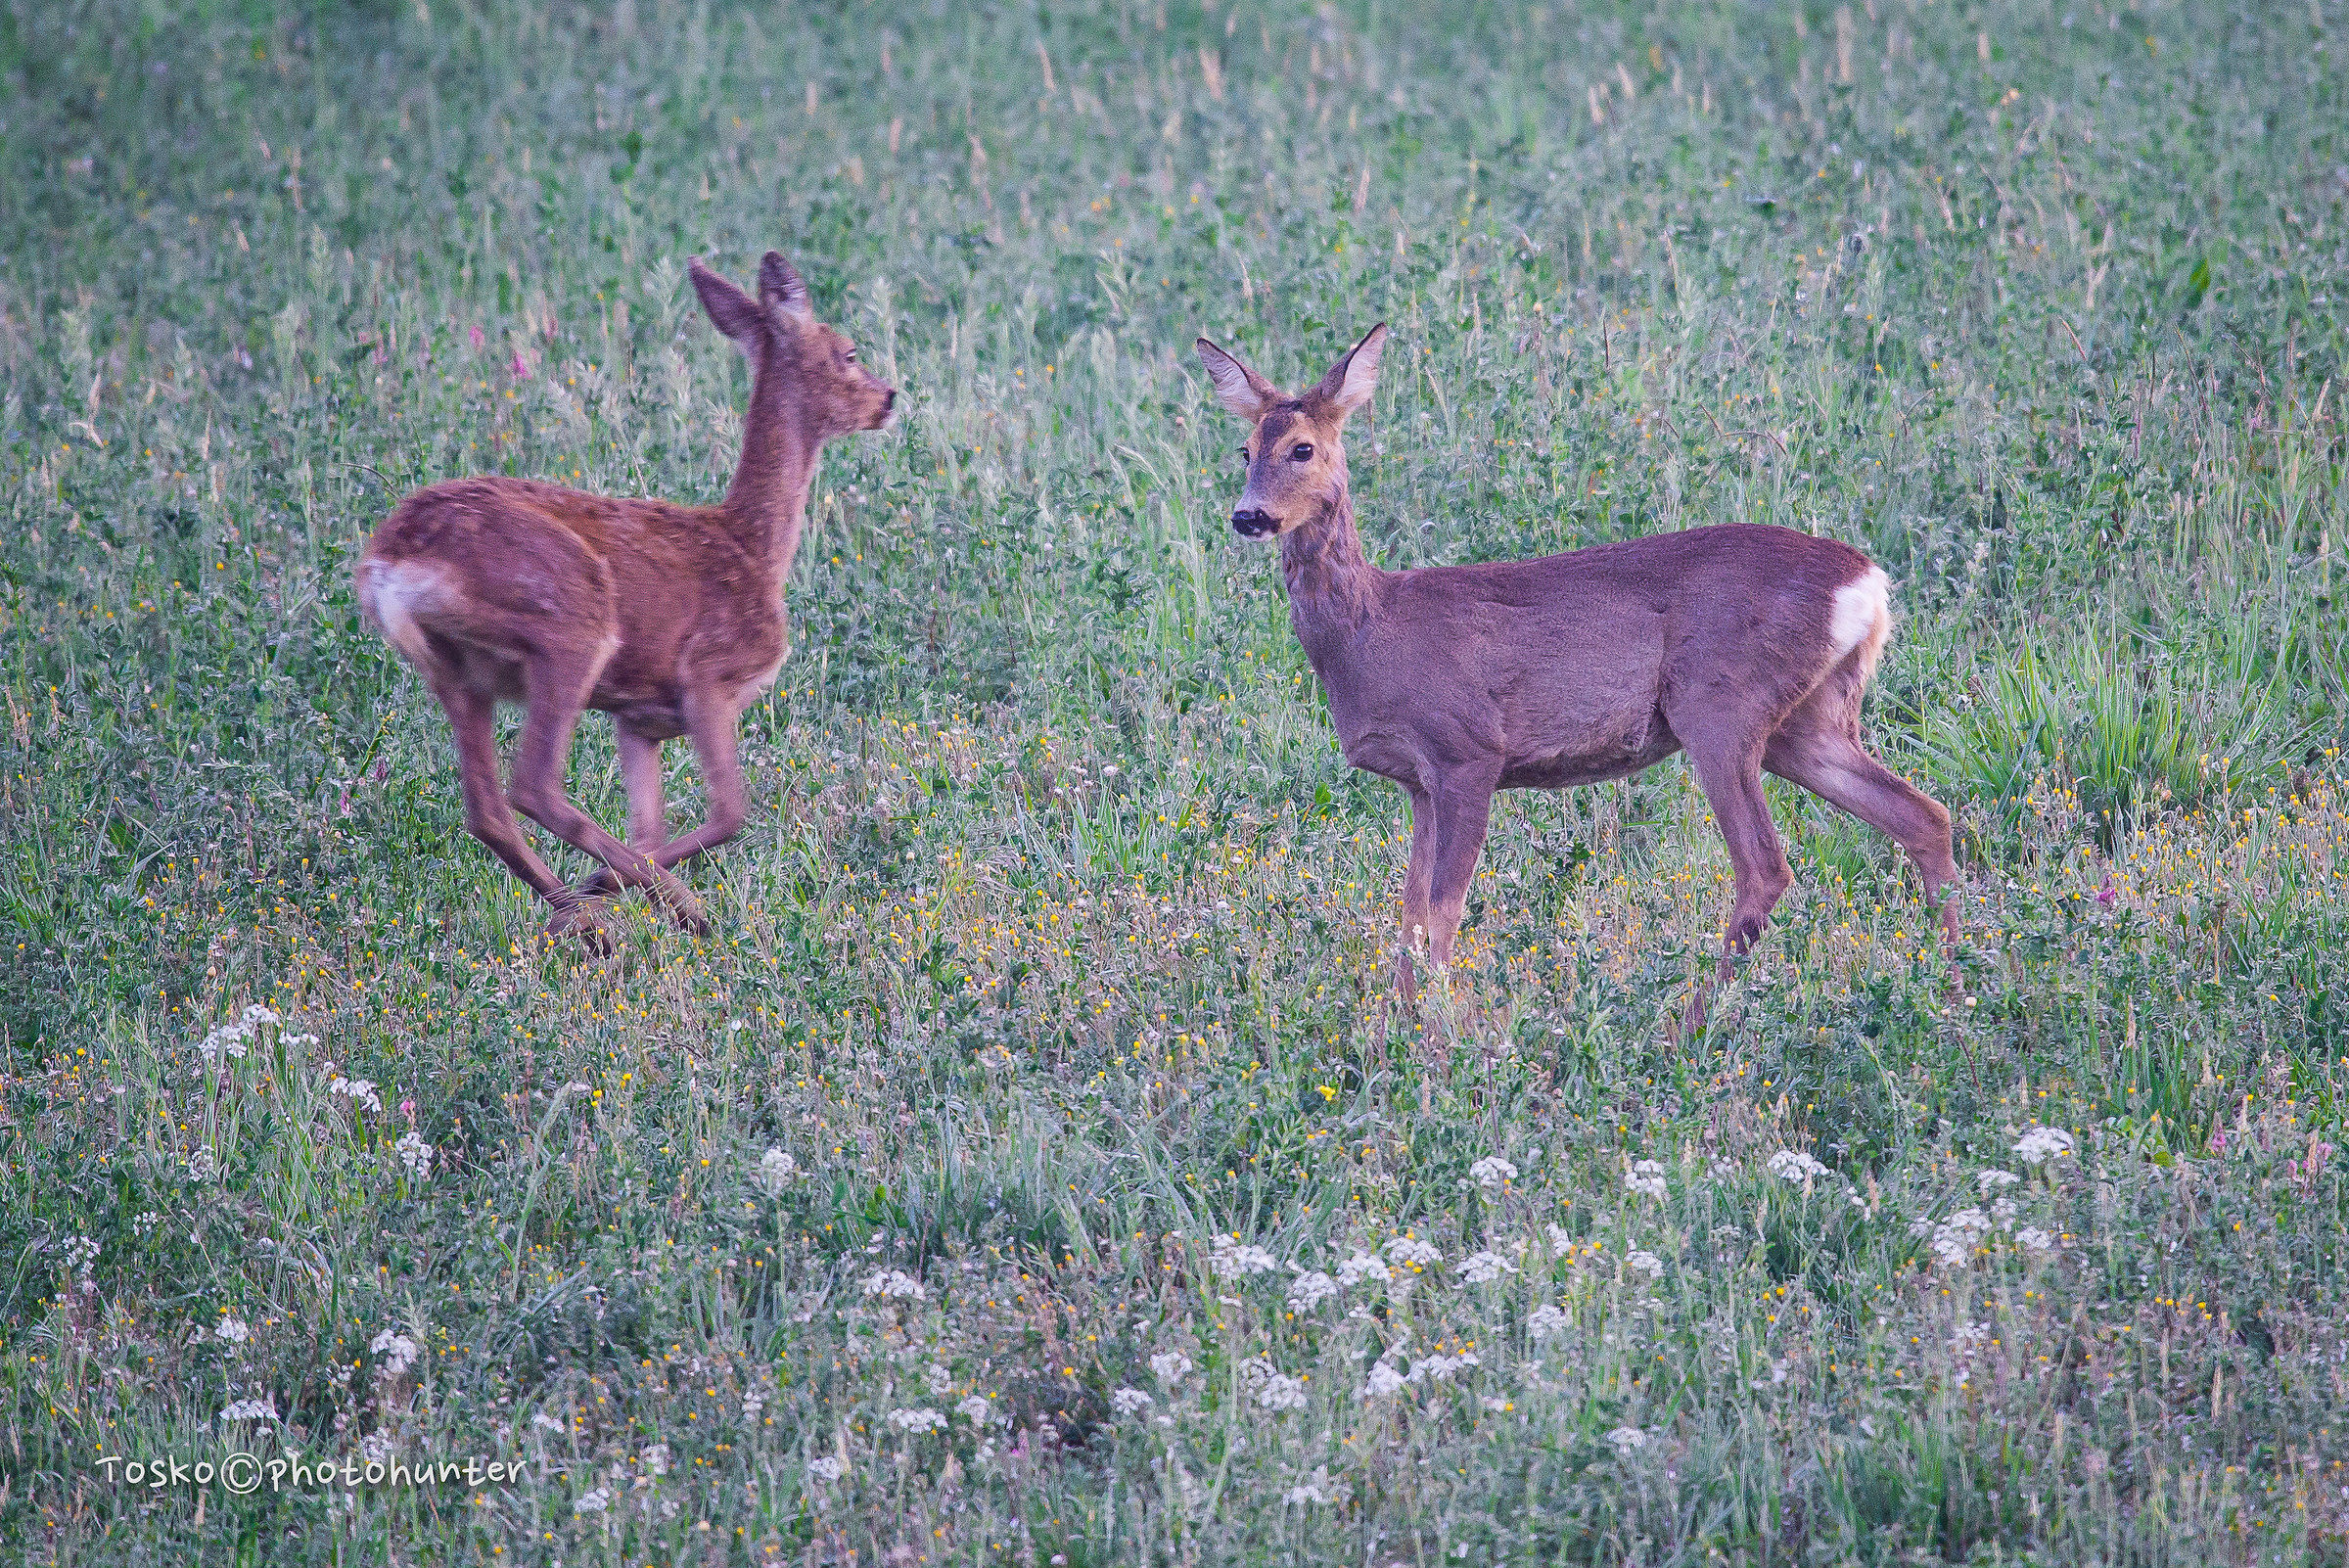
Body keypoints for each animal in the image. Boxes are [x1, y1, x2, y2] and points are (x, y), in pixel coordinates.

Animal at [356, 251, 896, 949]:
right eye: (849, 351)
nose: (890, 397)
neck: (753, 550)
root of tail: (388, 559)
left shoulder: (638, 721)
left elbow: (651, 828)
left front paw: (618, 886)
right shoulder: (707, 676)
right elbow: (731, 813)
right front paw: (656, 898)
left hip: (455, 670)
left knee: (487, 809)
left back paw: (578, 914)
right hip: (570, 625)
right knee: (532, 784)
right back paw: (631, 913)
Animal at [1194, 323, 1960, 1023]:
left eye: (1302, 447)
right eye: (1244, 449)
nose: (1248, 515)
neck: (1373, 632)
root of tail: (1868, 584)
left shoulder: (1468, 751)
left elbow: (1443, 912)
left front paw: (1437, 1038)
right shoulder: (1419, 781)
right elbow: (1408, 914)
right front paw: (1393, 1033)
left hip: (1721, 704)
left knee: (1765, 867)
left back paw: (1690, 1025)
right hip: (1807, 721)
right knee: (1922, 814)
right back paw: (1953, 981)